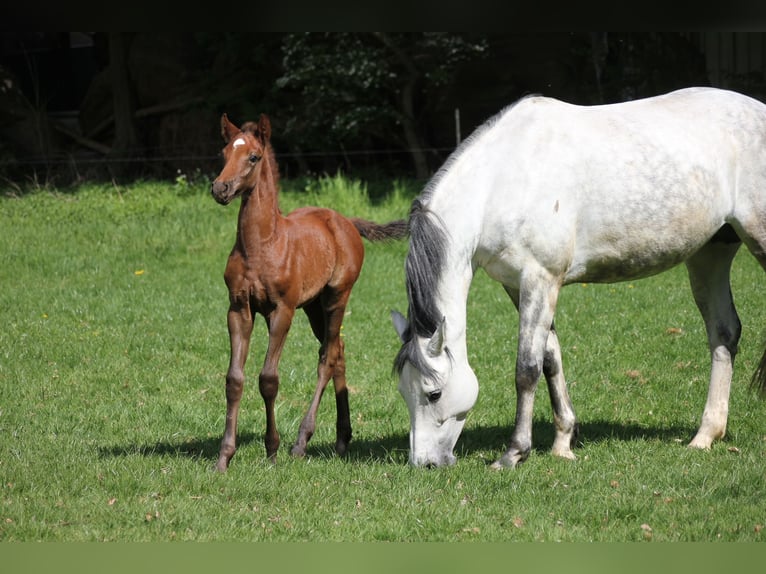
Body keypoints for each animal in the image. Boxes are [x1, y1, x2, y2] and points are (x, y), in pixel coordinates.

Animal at [212, 113, 408, 472]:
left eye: (253, 157)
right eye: (224, 153)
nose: (221, 188)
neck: (261, 244)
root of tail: (346, 222)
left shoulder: (282, 310)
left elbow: (268, 379)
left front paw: (272, 450)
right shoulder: (239, 309)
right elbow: (234, 379)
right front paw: (224, 457)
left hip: (336, 297)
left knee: (327, 357)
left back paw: (301, 442)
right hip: (314, 306)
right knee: (339, 350)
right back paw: (342, 437)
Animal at [392, 88, 766, 470]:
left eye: (433, 393)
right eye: (404, 390)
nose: (424, 463)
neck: (500, 181)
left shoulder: (540, 279)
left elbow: (526, 369)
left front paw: (514, 453)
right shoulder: (518, 285)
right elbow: (550, 360)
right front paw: (563, 443)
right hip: (711, 253)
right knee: (723, 333)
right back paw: (704, 437)